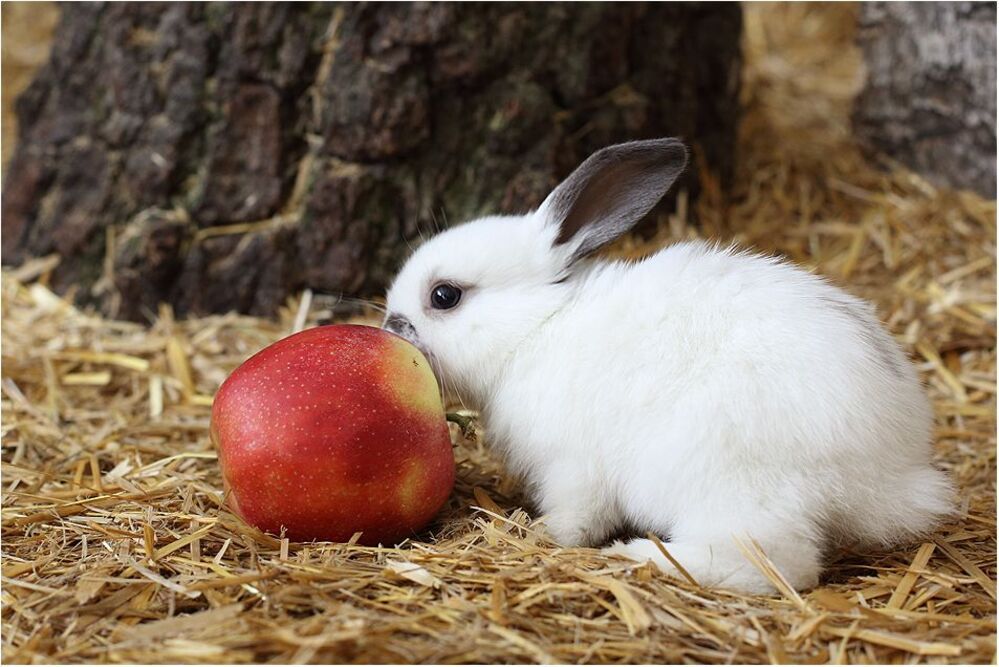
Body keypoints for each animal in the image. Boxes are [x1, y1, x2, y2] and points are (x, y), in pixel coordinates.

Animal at [382, 138, 953, 594]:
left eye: (445, 296)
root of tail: (886, 478)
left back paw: (638, 556)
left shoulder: (573, 468)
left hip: (731, 481)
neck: (537, 327)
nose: (392, 325)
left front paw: (542, 534)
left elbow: (577, 516)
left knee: (775, 562)